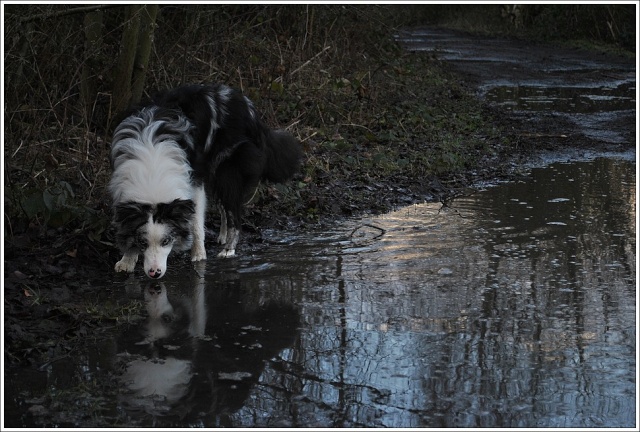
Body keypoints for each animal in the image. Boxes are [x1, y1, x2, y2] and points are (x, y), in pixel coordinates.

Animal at [109, 84, 302, 278]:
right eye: (143, 243)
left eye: (166, 241)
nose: (154, 273)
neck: (153, 171)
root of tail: (250, 108)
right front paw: (127, 260)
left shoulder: (195, 181)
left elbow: (196, 222)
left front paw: (199, 254)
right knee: (225, 208)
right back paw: (223, 235)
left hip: (228, 172)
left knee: (234, 214)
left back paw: (228, 249)